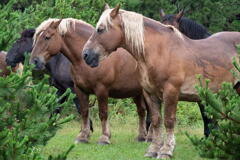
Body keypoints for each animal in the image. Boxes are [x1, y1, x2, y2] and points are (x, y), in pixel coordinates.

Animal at [29, 17, 151, 145]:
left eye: (47, 37)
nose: (34, 61)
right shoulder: (79, 89)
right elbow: (84, 112)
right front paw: (83, 136)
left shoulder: (101, 90)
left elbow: (103, 113)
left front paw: (104, 137)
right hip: (137, 93)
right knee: (142, 112)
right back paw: (141, 137)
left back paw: (150, 137)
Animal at [82, 4, 240, 159]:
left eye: (101, 29)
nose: (86, 55)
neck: (161, 51)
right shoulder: (150, 94)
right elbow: (156, 121)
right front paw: (153, 150)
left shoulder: (171, 92)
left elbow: (169, 121)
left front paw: (166, 150)